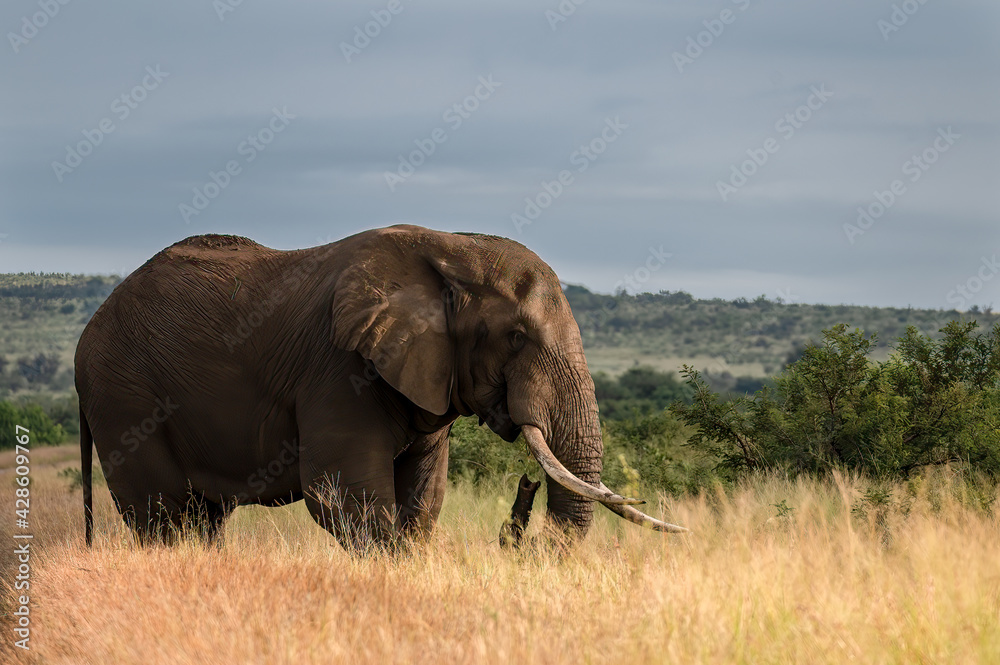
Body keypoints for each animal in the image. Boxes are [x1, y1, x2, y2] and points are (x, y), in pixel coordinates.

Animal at [75, 225, 685, 551]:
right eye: (515, 337)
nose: (524, 491)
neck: (452, 247)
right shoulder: (336, 369)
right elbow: (345, 496)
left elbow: (424, 497)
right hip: (125, 398)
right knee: (165, 516)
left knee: (202, 519)